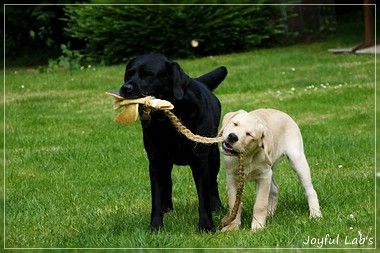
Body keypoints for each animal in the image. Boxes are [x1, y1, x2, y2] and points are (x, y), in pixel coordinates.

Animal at [119, 53, 226, 231]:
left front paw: (206, 226)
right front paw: (155, 226)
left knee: (213, 182)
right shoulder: (155, 161)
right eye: (128, 74)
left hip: (213, 155)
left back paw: (217, 206)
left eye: (147, 75)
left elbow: (203, 195)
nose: (125, 88)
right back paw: (167, 208)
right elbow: (156, 197)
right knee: (167, 182)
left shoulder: (200, 160)